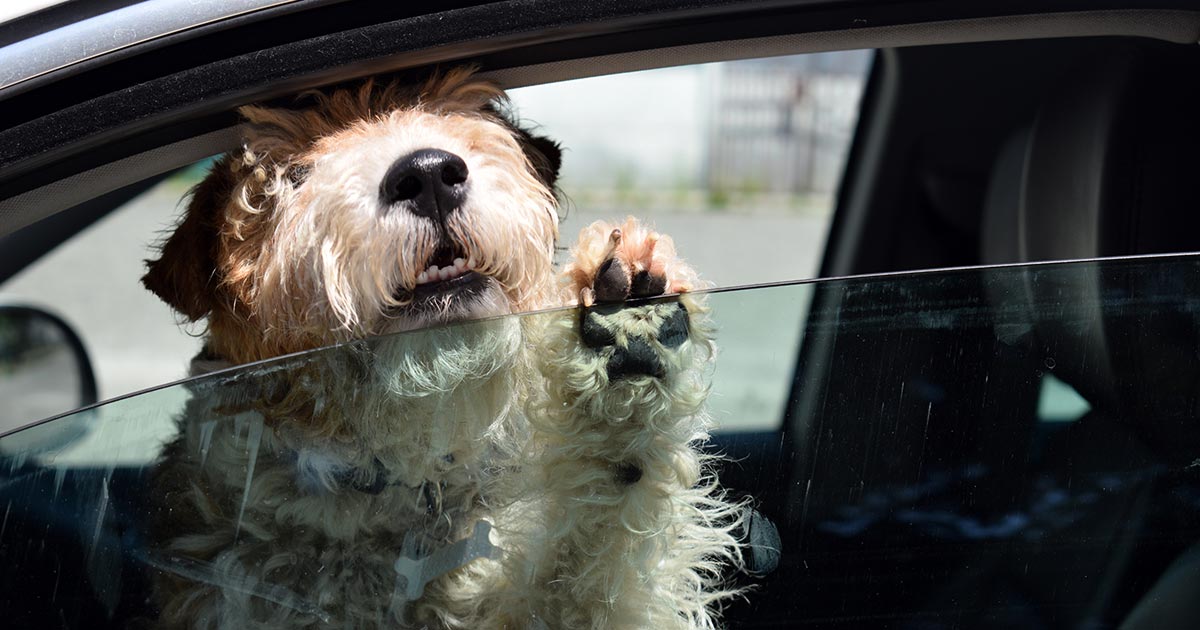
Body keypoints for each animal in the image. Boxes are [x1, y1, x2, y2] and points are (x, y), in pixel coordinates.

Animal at [140, 68, 739, 628]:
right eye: (292, 174)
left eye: (450, 115)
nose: (428, 172)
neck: (393, 478)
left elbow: (593, 562)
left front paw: (624, 367)